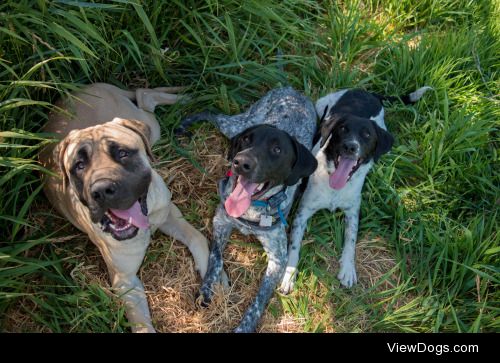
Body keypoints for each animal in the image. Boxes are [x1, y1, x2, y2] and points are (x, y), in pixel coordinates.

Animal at [40, 84, 209, 334]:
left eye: (122, 153)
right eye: (79, 166)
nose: (101, 190)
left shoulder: (169, 213)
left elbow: (198, 238)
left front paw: (217, 283)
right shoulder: (125, 281)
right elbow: (141, 325)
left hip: (151, 127)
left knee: (145, 95)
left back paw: (185, 97)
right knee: (144, 95)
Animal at [180, 87, 316, 332]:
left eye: (277, 149)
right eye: (246, 140)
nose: (240, 162)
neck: (251, 209)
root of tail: (292, 90)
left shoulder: (278, 258)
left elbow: (259, 299)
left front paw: (245, 325)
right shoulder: (220, 221)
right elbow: (215, 258)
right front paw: (206, 289)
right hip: (238, 123)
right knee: (213, 113)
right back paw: (186, 121)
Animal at [280, 86, 432, 294]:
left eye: (367, 135)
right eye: (342, 129)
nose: (350, 146)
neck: (335, 185)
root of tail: (367, 92)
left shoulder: (352, 212)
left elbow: (351, 241)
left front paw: (347, 269)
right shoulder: (303, 213)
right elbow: (294, 247)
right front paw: (288, 275)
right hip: (320, 104)